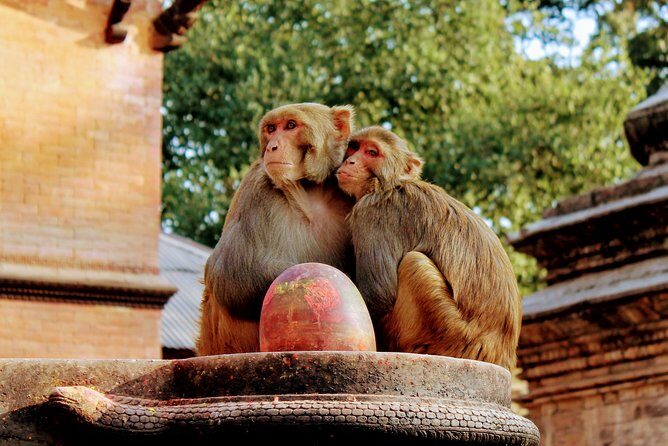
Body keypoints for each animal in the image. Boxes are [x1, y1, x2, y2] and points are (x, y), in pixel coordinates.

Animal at [197, 103, 356, 356]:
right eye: (271, 129)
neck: (310, 191)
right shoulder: (256, 191)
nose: (272, 146)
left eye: (291, 125)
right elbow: (230, 274)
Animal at [335, 126, 521, 370]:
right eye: (354, 147)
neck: (390, 184)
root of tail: (501, 356)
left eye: (372, 152)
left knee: (415, 263)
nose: (351, 161)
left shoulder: (372, 212)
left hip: (449, 333)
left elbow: (378, 294)